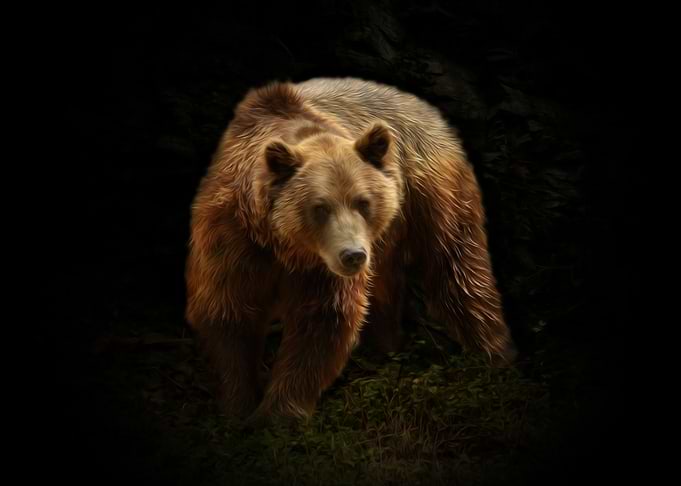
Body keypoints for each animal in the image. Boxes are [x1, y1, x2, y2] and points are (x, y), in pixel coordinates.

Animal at [185, 77, 516, 423]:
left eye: (363, 201)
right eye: (320, 207)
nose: (353, 255)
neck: (285, 245)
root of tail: (426, 108)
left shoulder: (321, 269)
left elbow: (323, 319)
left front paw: (277, 414)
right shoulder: (233, 239)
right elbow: (228, 312)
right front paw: (238, 406)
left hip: (433, 195)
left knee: (458, 272)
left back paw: (494, 358)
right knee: (386, 291)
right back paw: (387, 348)